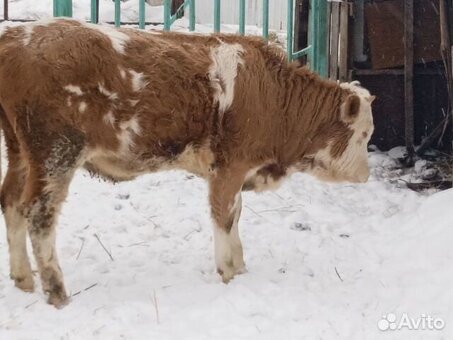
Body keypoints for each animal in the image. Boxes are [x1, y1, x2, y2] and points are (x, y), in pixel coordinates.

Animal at [0, 19, 374, 308]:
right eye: (364, 133)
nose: (366, 175)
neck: (270, 93)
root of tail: (16, 37)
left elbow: (235, 214)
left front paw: (239, 266)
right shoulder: (229, 167)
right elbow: (224, 215)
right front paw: (229, 270)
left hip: (20, 153)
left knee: (12, 202)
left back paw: (23, 279)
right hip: (56, 153)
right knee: (39, 213)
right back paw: (57, 292)